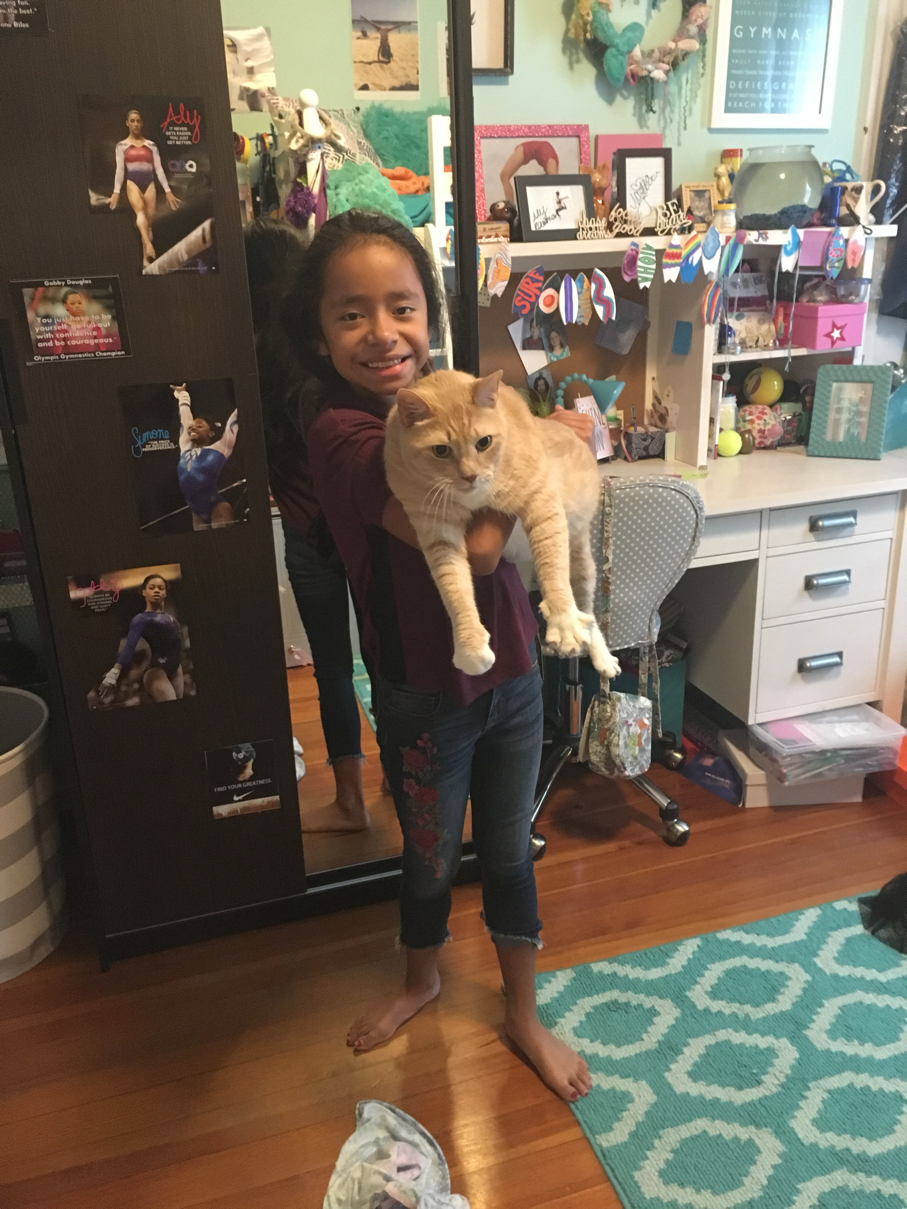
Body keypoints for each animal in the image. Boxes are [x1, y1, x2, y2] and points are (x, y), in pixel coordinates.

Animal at [384, 368, 620, 679]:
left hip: (581, 562)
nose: (470, 476)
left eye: (483, 442)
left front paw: (564, 622)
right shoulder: (438, 534)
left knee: (589, 615)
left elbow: (554, 572)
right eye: (440, 451)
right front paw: (470, 647)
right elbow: (454, 590)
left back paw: (601, 654)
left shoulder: (541, 501)